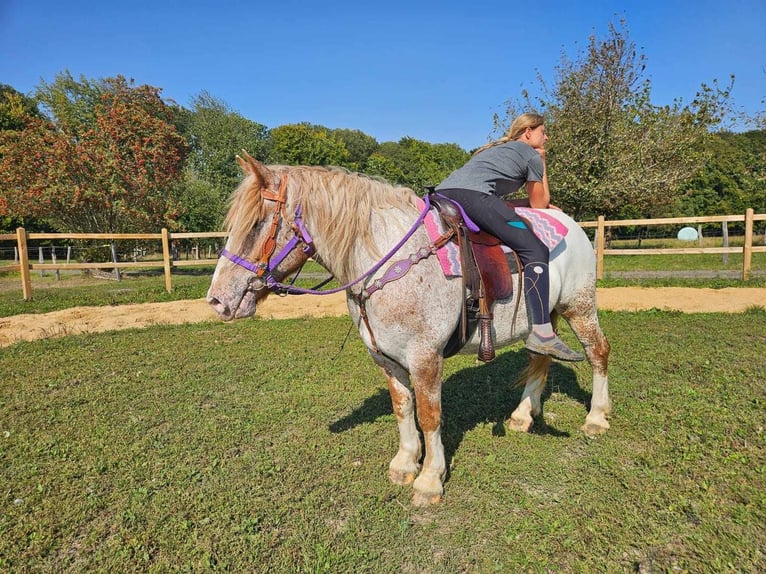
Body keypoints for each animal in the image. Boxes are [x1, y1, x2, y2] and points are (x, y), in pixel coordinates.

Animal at [208, 153, 612, 508]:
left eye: (257, 224)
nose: (217, 300)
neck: (389, 262)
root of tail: (571, 224)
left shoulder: (425, 358)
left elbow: (429, 415)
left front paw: (430, 479)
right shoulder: (386, 358)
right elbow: (403, 408)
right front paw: (405, 463)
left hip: (579, 308)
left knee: (598, 352)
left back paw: (596, 417)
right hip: (543, 320)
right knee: (540, 357)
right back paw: (523, 415)